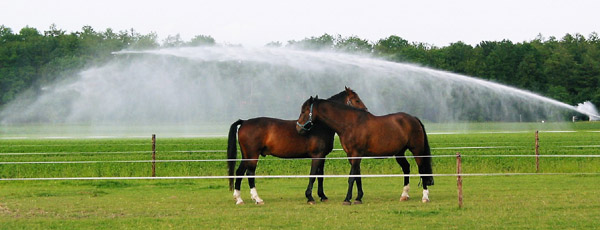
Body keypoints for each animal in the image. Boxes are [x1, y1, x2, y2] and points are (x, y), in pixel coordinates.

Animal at [225, 86, 366, 205]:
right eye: (357, 100)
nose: (365, 111)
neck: (320, 126)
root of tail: (244, 122)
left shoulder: (322, 157)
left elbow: (320, 176)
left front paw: (323, 196)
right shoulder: (317, 156)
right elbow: (313, 175)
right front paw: (310, 197)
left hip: (246, 156)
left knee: (239, 172)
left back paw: (239, 199)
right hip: (253, 155)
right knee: (250, 173)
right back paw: (257, 199)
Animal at [294, 95, 432, 205]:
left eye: (304, 111)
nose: (298, 128)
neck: (350, 124)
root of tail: (413, 119)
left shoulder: (356, 154)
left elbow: (351, 177)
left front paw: (347, 199)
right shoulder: (351, 156)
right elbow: (357, 177)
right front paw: (358, 198)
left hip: (417, 151)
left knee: (422, 170)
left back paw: (425, 197)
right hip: (399, 153)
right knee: (406, 168)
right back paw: (404, 195)